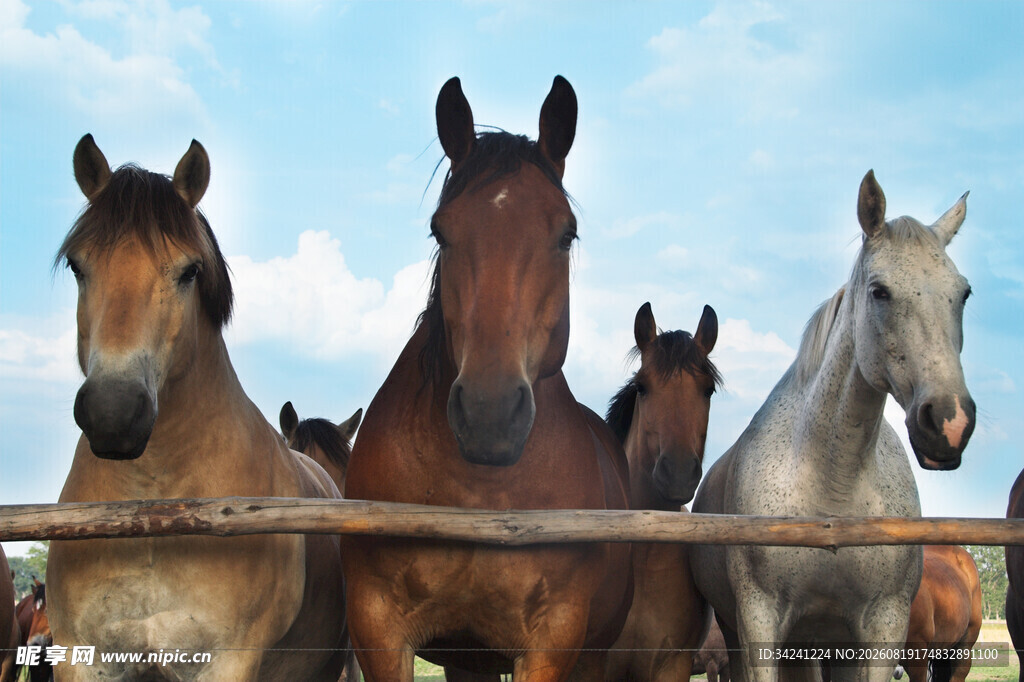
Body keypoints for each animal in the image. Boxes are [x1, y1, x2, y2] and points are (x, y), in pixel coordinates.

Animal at [46, 135, 347, 681]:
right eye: (79, 266)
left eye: (189, 271)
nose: (113, 412)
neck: (155, 514)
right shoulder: (82, 656)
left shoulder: (227, 661)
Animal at [342, 76, 633, 682]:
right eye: (440, 232)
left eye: (567, 235)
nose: (489, 414)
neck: (482, 493)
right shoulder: (377, 626)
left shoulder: (554, 638)